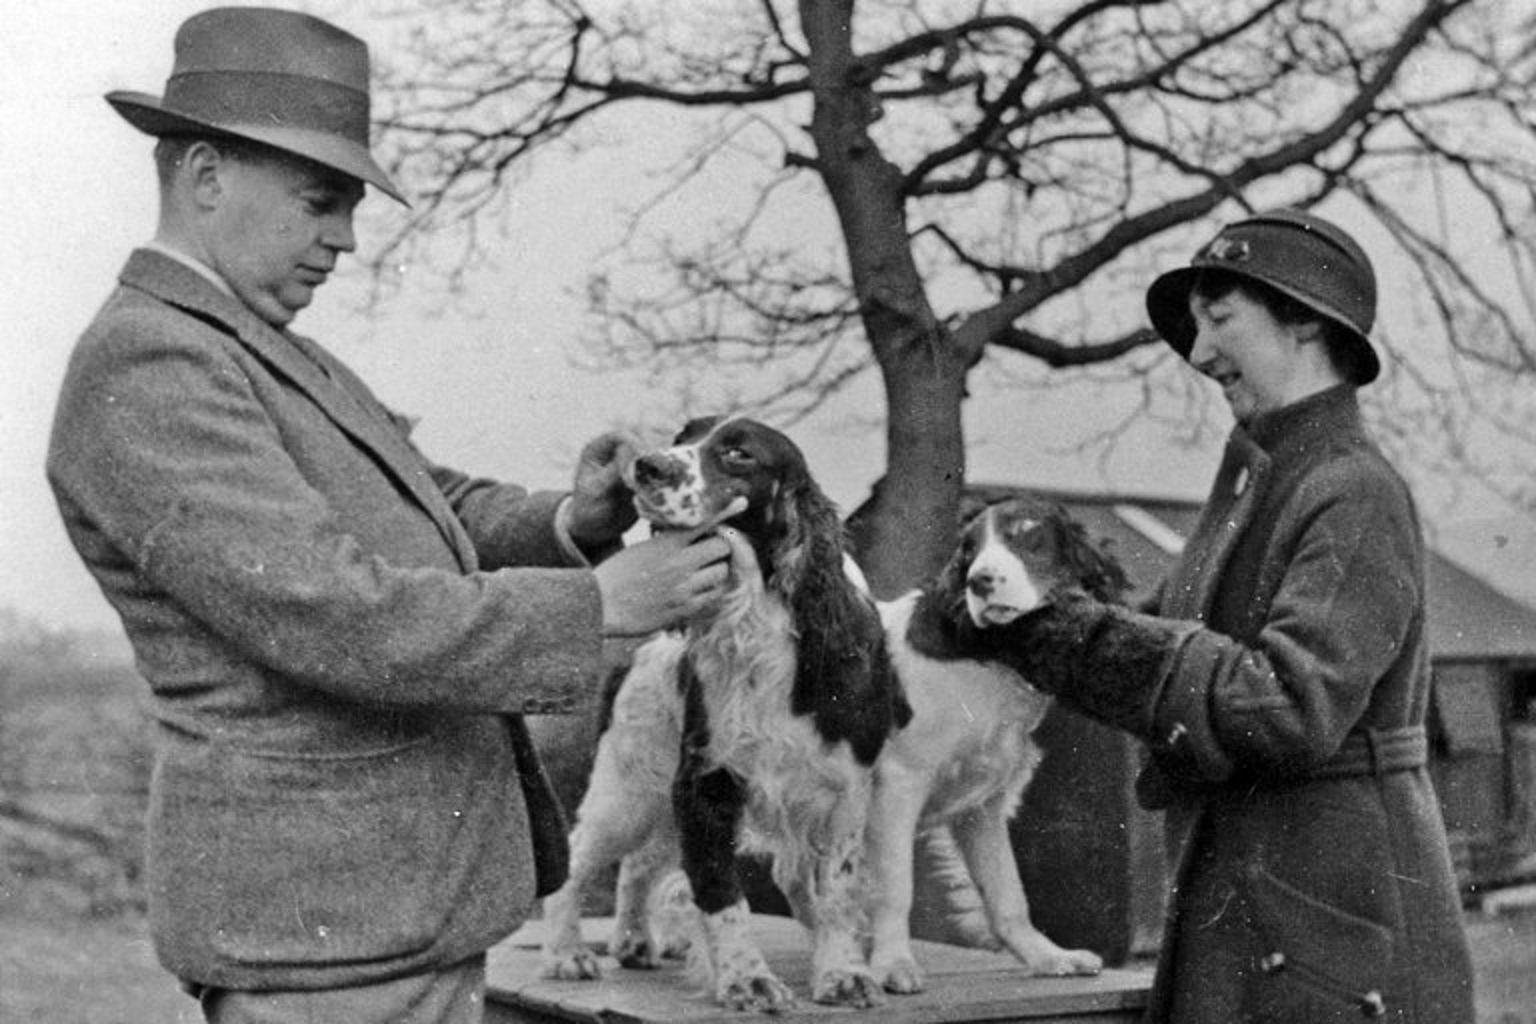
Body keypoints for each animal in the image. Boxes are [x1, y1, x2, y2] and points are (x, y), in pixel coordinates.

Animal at [540, 414, 903, 1007]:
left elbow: (837, 891)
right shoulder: (706, 781)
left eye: (739, 454)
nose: (648, 466)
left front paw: (844, 974)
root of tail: (630, 654)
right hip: (630, 785)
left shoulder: (846, 789)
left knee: (639, 864)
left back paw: (634, 940)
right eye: (684, 436)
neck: (758, 615)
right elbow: (720, 892)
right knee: (578, 858)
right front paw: (746, 979)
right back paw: (565, 952)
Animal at [866, 497, 1130, 994]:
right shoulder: (899, 782)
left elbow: (1008, 892)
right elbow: (894, 886)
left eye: (1027, 534)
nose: (979, 581)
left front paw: (1049, 957)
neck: (988, 661)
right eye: (968, 551)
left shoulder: (981, 804)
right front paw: (891, 964)